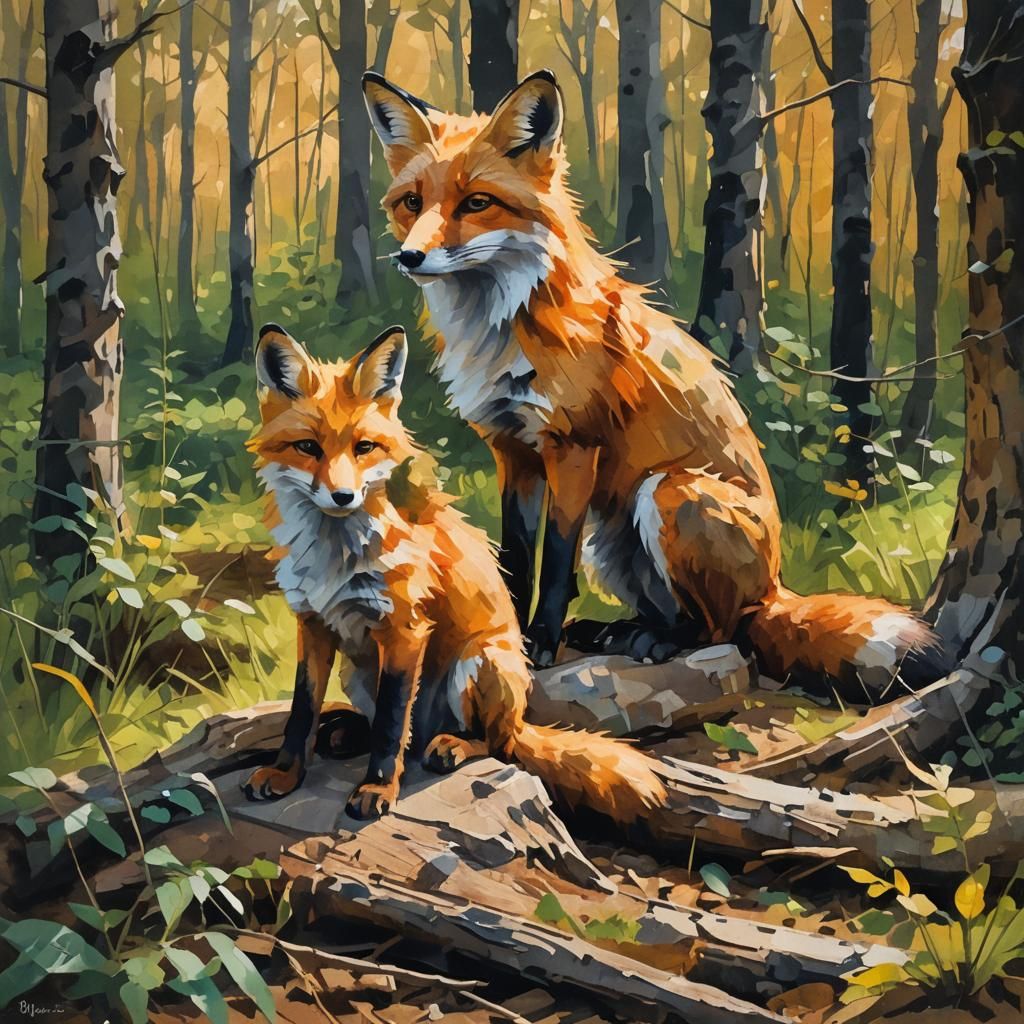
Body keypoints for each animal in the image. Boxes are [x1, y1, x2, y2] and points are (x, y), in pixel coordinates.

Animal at [241, 322, 666, 822]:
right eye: (308, 447)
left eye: (364, 448)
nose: (343, 496)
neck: (336, 556)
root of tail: (520, 716)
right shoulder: (313, 625)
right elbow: (302, 712)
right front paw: (285, 774)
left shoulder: (405, 630)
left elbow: (391, 724)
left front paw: (378, 789)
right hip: (357, 673)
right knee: (405, 733)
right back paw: (351, 734)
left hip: (479, 663)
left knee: (491, 742)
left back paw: (451, 746)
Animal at [361, 69, 953, 696]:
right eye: (412, 203)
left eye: (477, 202)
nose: (409, 257)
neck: (502, 330)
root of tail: (773, 587)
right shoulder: (512, 451)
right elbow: (516, 561)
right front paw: (512, 637)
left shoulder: (573, 448)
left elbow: (555, 562)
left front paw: (539, 642)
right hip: (613, 539)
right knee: (677, 614)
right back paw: (619, 631)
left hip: (670, 494)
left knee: (724, 630)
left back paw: (659, 641)